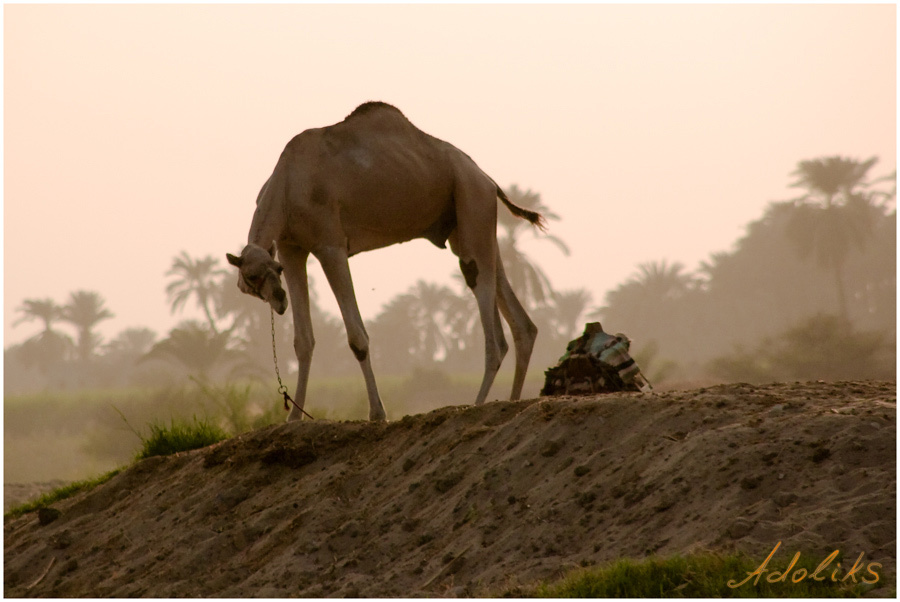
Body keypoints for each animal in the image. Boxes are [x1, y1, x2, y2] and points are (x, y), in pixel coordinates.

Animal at [227, 101, 541, 421]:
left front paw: (377, 413)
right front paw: (293, 418)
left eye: (269, 272)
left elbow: (357, 338)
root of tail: (489, 180)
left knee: (488, 312)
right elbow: (303, 341)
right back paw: (512, 401)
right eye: (254, 276)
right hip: (469, 224)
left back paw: (476, 404)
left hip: (471, 198)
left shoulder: (330, 245)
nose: (279, 299)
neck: (287, 186)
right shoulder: (291, 248)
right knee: (519, 319)